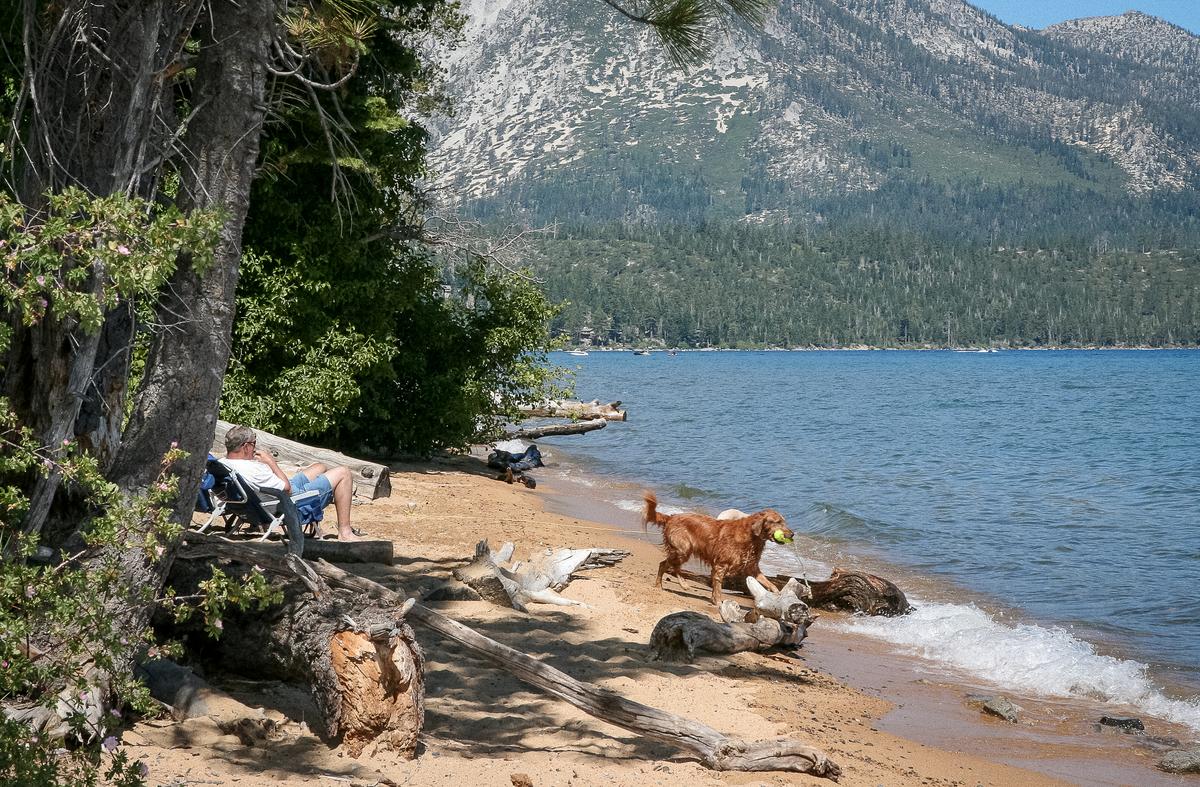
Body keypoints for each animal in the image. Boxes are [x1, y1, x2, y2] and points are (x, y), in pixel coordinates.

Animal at [643, 491, 792, 609]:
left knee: (672, 566)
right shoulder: (721, 565)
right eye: (778, 522)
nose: (792, 534)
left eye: (784, 521)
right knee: (665, 564)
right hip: (683, 550)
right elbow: (718, 587)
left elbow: (769, 583)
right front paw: (719, 602)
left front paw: (778, 594)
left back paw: (681, 584)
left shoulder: (752, 567)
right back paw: (662, 585)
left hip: (683, 551)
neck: (751, 537)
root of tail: (671, 517)